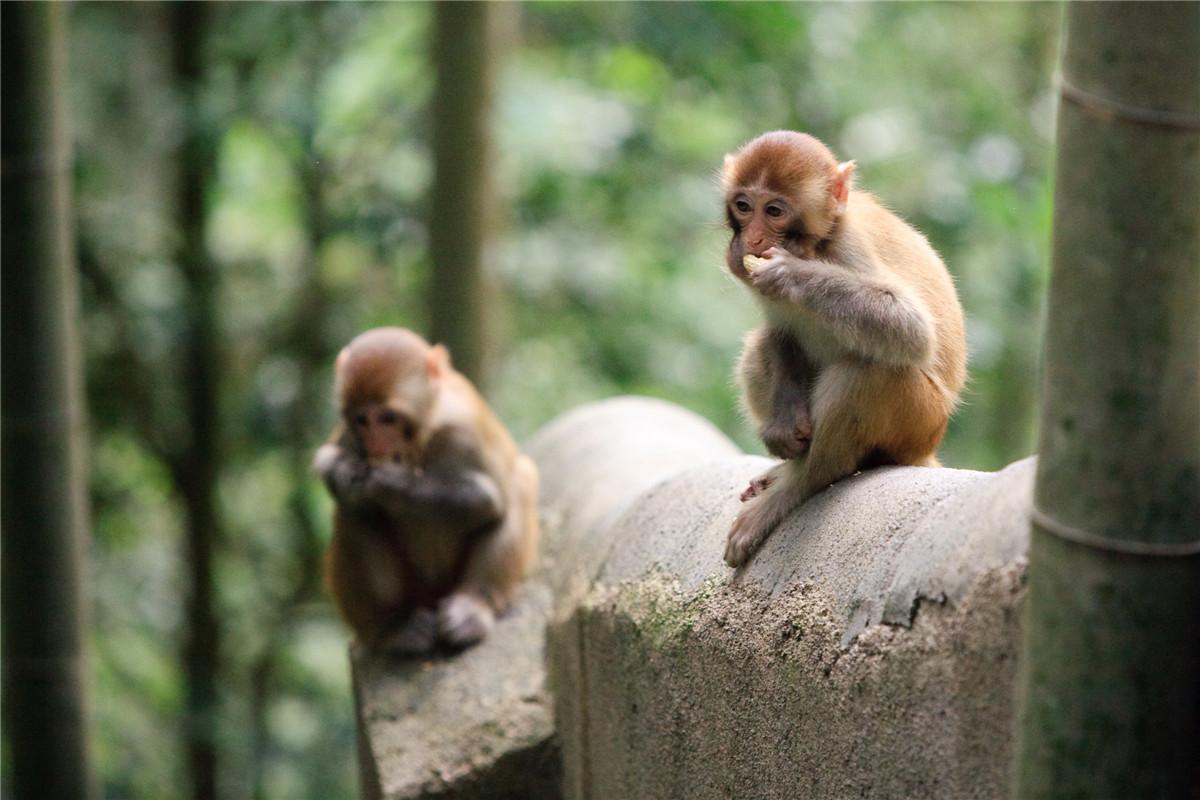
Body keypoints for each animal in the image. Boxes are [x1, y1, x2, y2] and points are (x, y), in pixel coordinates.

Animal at [309, 326, 540, 657]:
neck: (427, 430)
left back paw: (473, 609)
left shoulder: (465, 431)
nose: (377, 445)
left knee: (519, 483)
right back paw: (393, 626)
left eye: (388, 418)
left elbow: (487, 499)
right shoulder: (350, 435)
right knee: (353, 510)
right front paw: (346, 473)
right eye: (362, 420)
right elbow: (327, 459)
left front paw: (390, 484)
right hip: (409, 591)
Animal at [720, 130, 964, 568]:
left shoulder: (849, 246)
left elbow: (911, 329)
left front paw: (791, 274)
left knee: (870, 369)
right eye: (743, 206)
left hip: (919, 421)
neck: (816, 244)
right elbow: (781, 332)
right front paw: (783, 422)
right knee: (759, 346)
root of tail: (927, 448)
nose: (753, 239)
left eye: (775, 210)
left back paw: (803, 481)